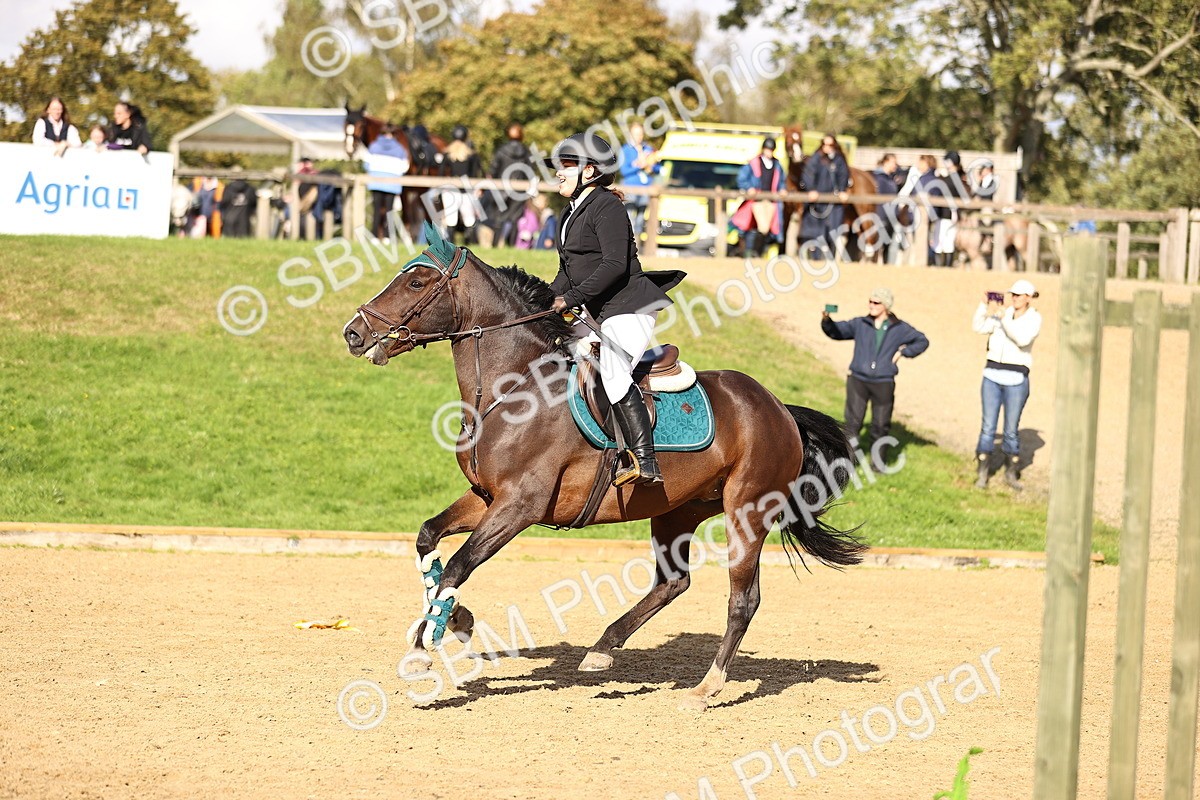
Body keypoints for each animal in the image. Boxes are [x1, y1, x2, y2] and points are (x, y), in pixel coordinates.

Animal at [342, 225, 867, 710]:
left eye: (416, 282)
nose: (353, 332)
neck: (514, 388)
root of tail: (778, 407)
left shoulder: (520, 506)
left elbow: (457, 565)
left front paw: (424, 651)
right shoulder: (487, 497)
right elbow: (429, 541)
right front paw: (453, 621)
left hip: (747, 510)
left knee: (743, 600)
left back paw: (705, 688)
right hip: (678, 510)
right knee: (673, 582)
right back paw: (603, 648)